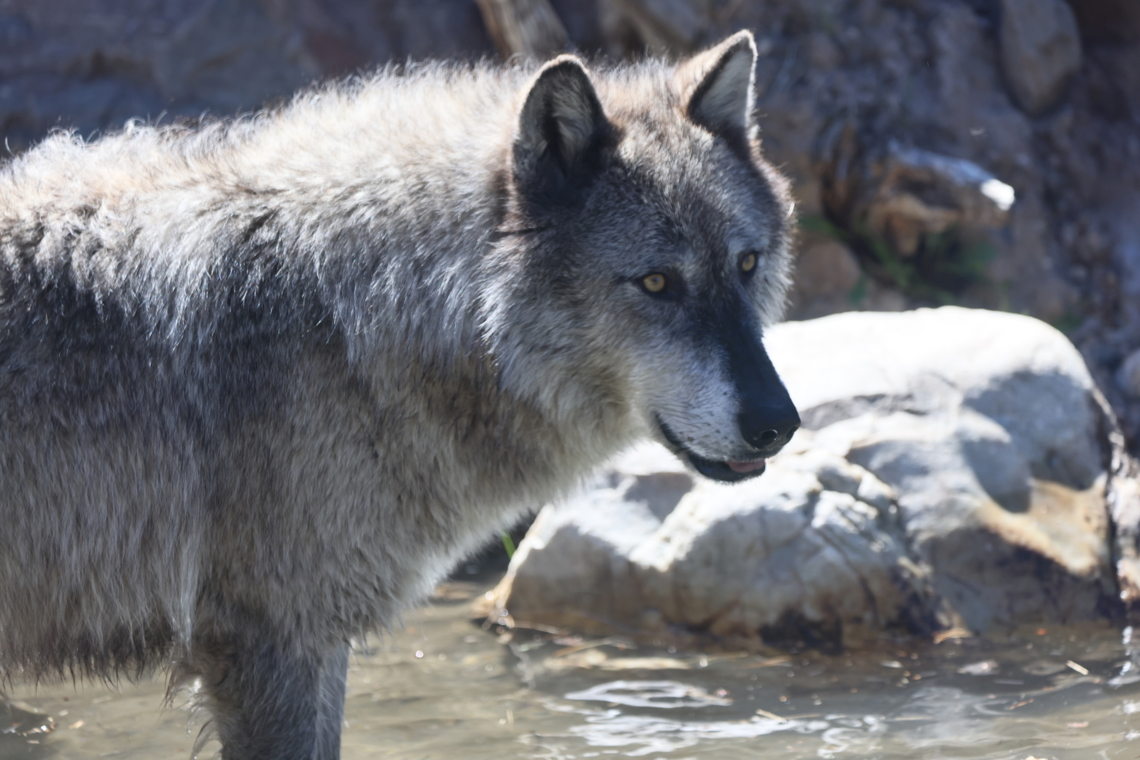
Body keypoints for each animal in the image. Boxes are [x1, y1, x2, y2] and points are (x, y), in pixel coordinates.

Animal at [0, 30, 799, 758]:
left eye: (747, 264)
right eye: (658, 282)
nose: (779, 424)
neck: (351, 317)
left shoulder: (314, 642)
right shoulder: (274, 641)